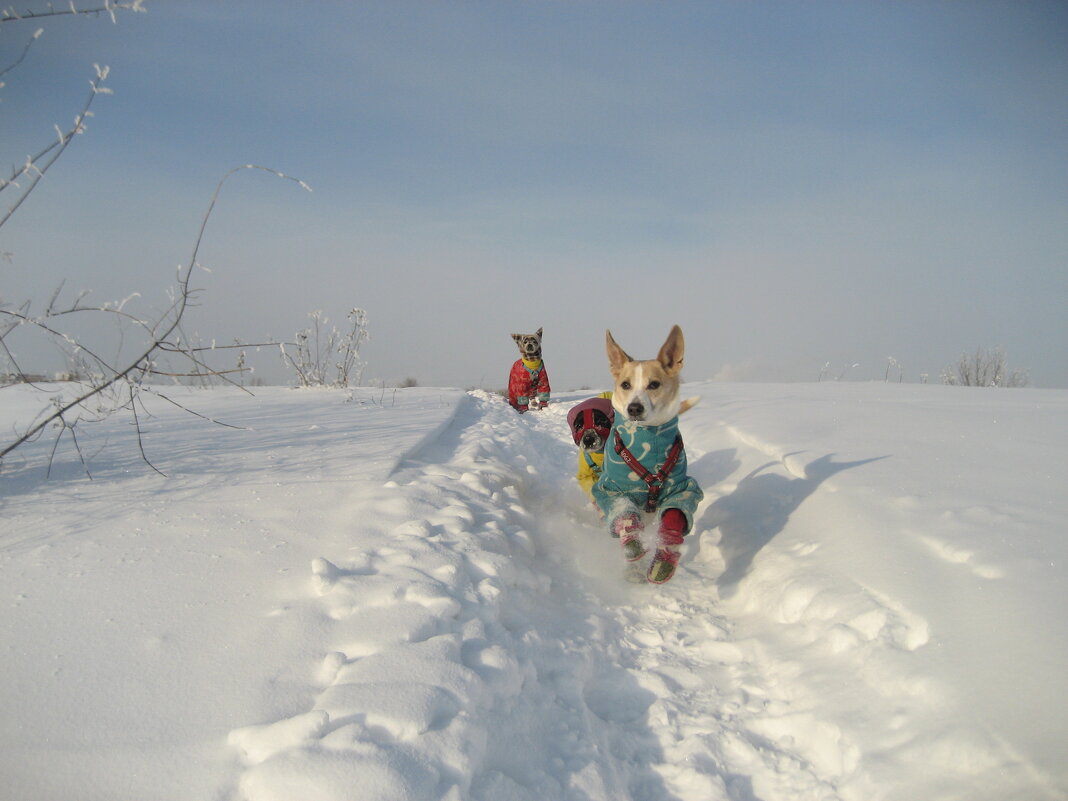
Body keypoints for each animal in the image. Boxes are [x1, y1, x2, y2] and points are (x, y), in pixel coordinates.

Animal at [589, 326, 704, 585]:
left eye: (654, 384)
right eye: (625, 384)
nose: (634, 408)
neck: (651, 440)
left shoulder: (684, 488)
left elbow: (675, 515)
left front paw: (664, 556)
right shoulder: (610, 489)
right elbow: (624, 517)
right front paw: (633, 549)